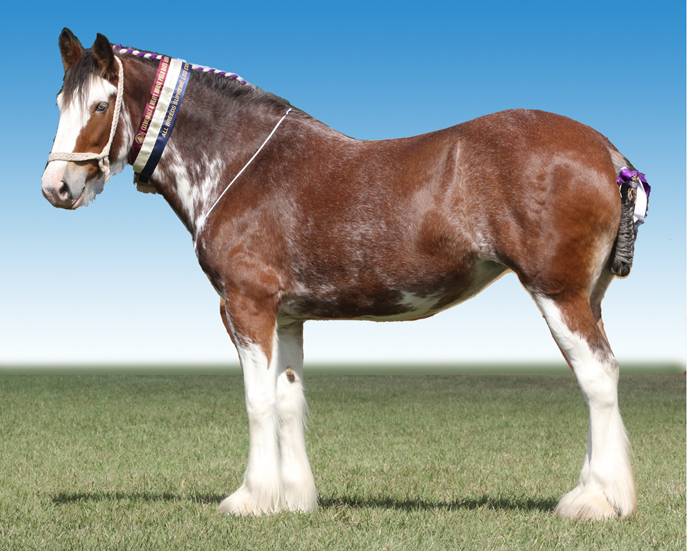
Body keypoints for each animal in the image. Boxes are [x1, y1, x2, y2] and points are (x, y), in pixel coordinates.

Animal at [42, 29, 650, 520]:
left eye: (100, 105)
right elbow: (288, 399)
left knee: (597, 378)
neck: (241, 162)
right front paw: (292, 499)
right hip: (587, 296)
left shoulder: (245, 305)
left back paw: (596, 503)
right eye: (60, 102)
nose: (56, 188)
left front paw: (250, 499)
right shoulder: (287, 316)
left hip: (557, 292)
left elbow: (257, 401)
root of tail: (608, 153)